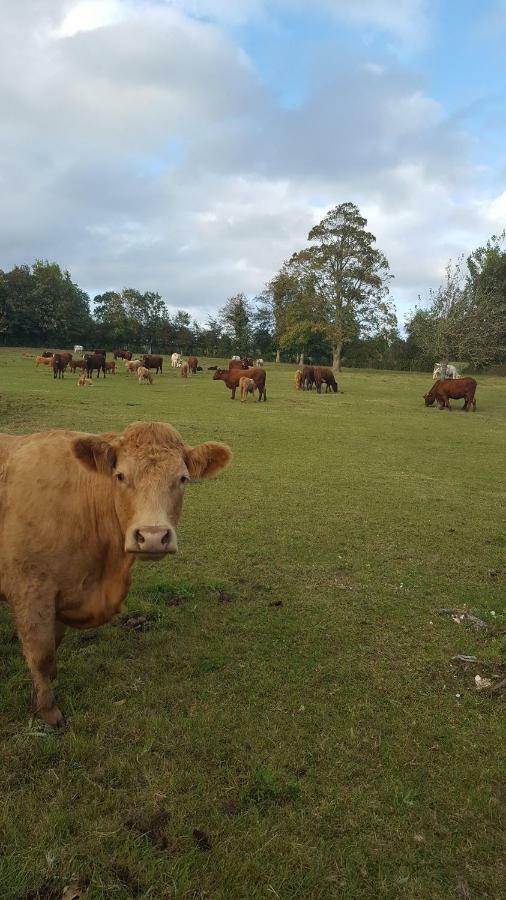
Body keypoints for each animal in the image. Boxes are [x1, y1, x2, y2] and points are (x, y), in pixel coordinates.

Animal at [0, 422, 232, 724]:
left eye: (183, 478)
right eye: (120, 475)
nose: (153, 537)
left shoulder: (62, 592)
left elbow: (54, 644)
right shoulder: (30, 589)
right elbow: (41, 653)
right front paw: (48, 709)